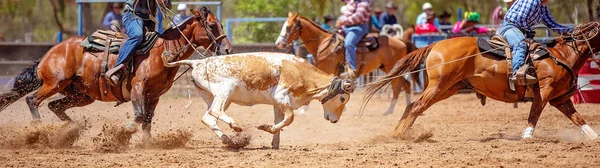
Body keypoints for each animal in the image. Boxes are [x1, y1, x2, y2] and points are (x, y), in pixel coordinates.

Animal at [0, 6, 232, 140]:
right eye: (212, 25)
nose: (228, 49)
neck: (161, 52)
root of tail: (49, 54)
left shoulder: (154, 96)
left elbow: (147, 121)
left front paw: (147, 145)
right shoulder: (138, 88)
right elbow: (139, 116)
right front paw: (121, 134)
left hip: (81, 94)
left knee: (54, 106)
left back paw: (72, 130)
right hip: (54, 83)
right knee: (32, 100)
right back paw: (38, 129)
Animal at [162, 51, 354, 148]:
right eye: (342, 98)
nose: (335, 120)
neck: (301, 72)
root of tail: (198, 63)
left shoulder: (278, 104)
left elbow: (281, 121)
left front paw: (274, 143)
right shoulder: (282, 97)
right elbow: (290, 118)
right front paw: (265, 127)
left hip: (215, 97)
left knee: (208, 117)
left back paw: (228, 140)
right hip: (226, 90)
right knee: (215, 111)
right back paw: (235, 126)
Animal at [276, 12, 418, 115]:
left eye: (289, 27)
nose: (278, 43)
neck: (324, 44)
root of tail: (401, 40)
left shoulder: (327, 69)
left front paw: (303, 109)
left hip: (391, 68)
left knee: (398, 86)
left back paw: (390, 110)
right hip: (388, 68)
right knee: (405, 85)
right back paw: (406, 107)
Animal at [360, 22, 600, 140]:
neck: (561, 55)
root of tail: (435, 45)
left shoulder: (561, 99)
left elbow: (578, 118)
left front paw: (593, 137)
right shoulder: (544, 92)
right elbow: (534, 114)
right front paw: (527, 136)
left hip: (447, 88)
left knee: (412, 106)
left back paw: (397, 132)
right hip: (438, 86)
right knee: (417, 106)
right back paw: (400, 135)